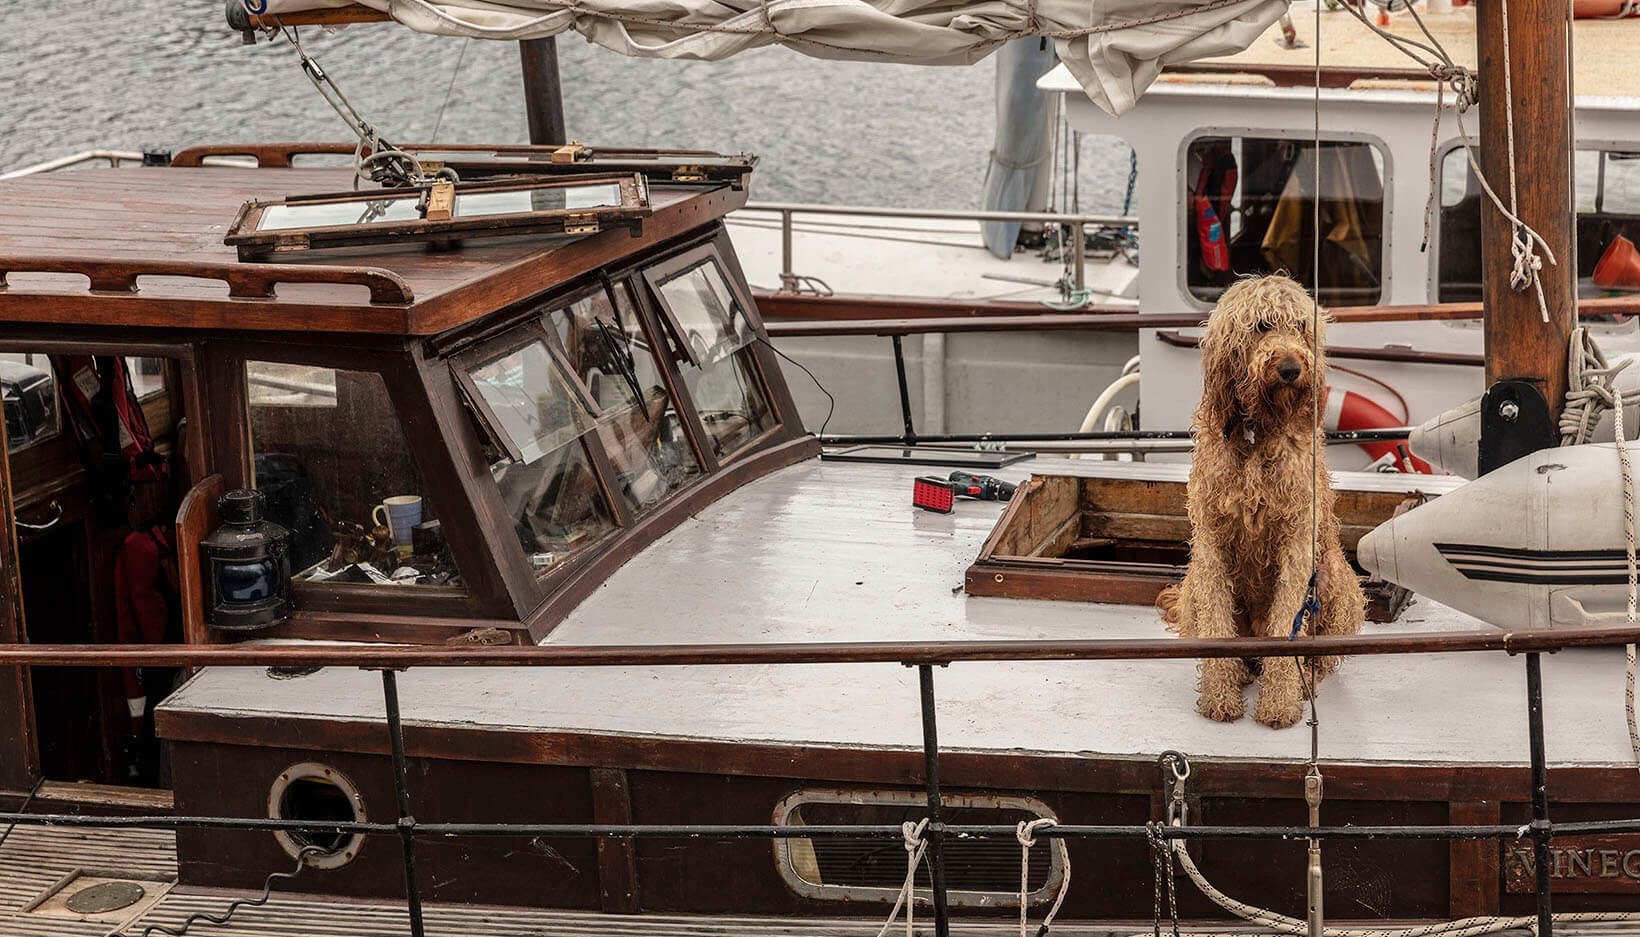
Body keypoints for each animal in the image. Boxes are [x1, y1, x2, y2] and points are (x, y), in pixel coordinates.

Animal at [1154, 275, 1371, 728]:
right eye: (1260, 326)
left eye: (1301, 326)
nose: (1290, 369)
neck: (1258, 434)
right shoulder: (1211, 543)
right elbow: (1217, 623)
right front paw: (1219, 696)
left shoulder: (1297, 542)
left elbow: (1286, 622)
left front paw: (1281, 700)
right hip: (1193, 586)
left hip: (1338, 583)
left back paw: (1305, 677)